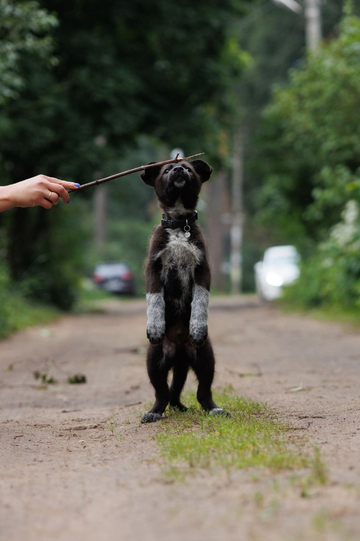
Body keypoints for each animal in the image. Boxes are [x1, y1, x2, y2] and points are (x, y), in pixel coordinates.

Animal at [139, 157, 229, 422]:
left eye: (188, 169)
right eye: (167, 169)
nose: (179, 170)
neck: (180, 226)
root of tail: (179, 350)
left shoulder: (202, 270)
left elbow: (200, 301)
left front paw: (197, 327)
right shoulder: (153, 268)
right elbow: (154, 300)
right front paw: (155, 326)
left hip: (205, 357)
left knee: (201, 391)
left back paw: (213, 408)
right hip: (155, 359)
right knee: (162, 393)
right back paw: (154, 412)